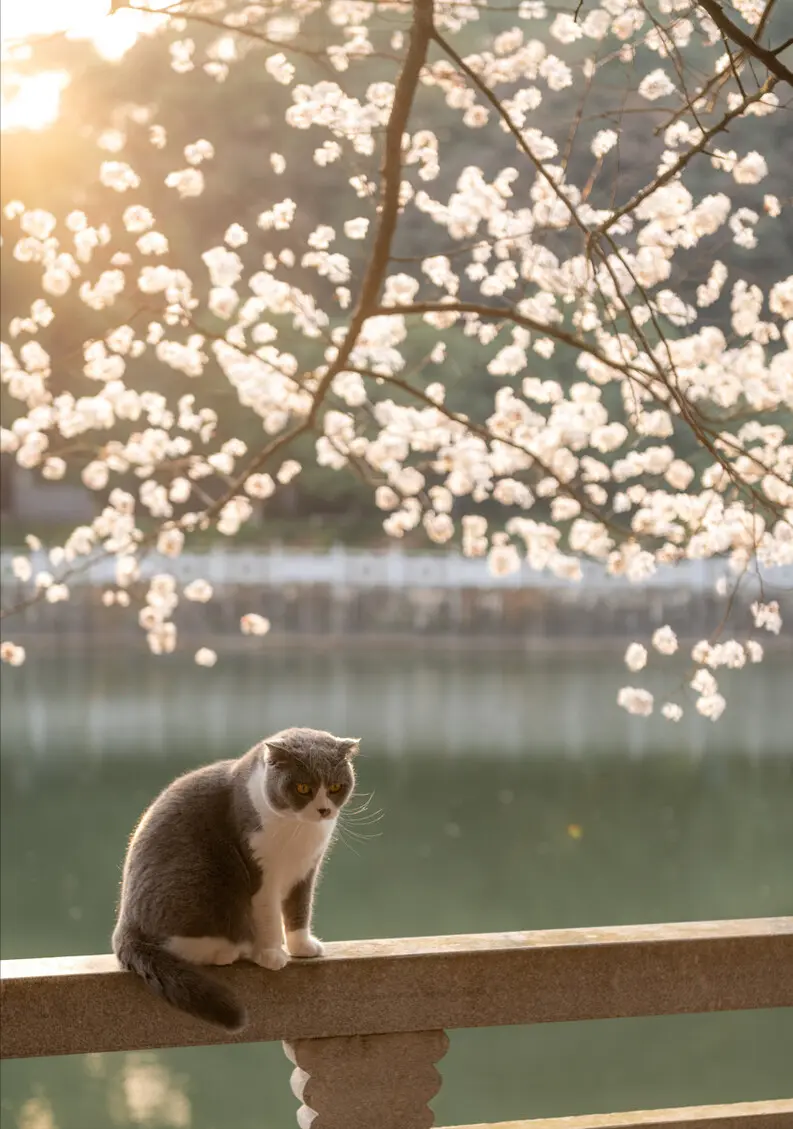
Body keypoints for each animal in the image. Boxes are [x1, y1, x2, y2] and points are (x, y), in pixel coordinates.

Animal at [111, 731, 361, 1034]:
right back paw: (229, 951)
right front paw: (271, 954)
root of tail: (125, 923)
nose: (324, 810)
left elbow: (299, 909)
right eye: (303, 788)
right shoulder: (261, 870)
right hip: (199, 880)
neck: (298, 829)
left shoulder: (306, 871)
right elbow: (268, 916)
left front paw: (302, 947)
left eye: (336, 787)